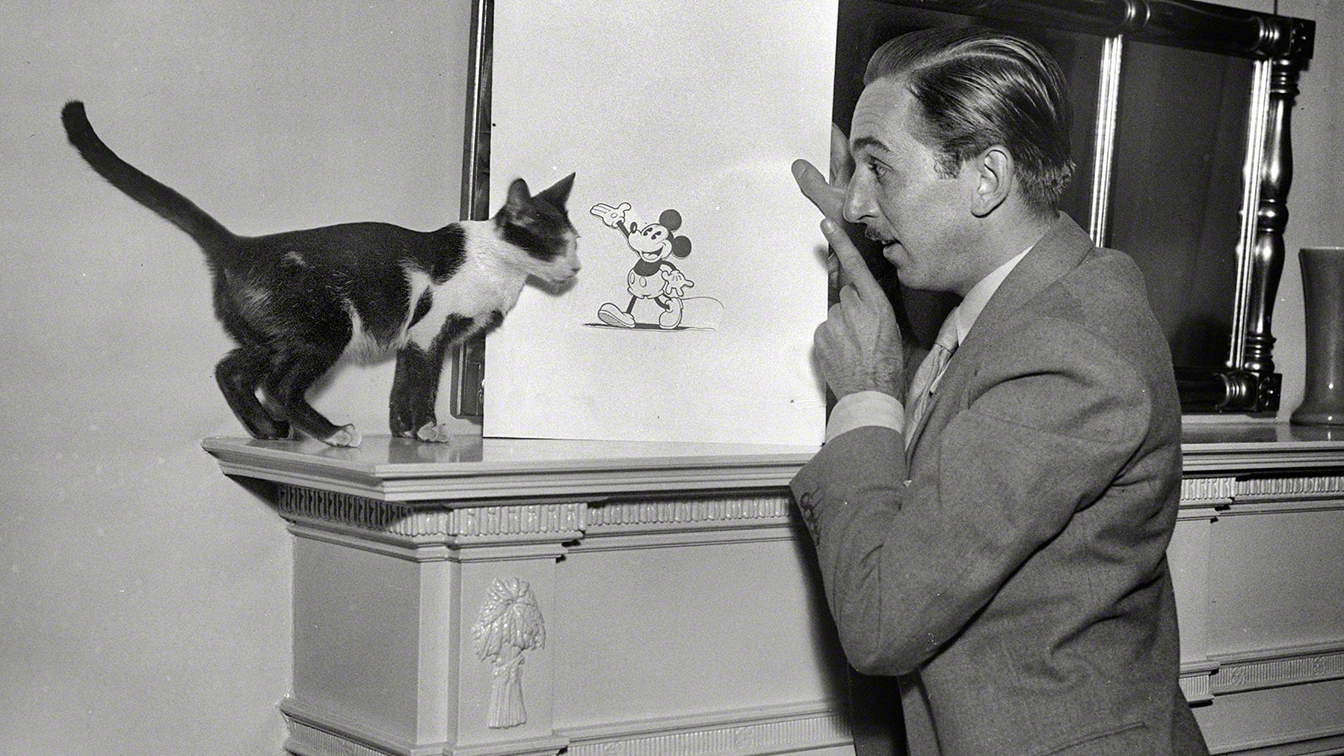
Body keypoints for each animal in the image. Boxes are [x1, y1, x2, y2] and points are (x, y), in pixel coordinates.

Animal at [61, 101, 579, 447]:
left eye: (577, 243)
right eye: (557, 243)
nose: (577, 268)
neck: (496, 266)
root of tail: (241, 245)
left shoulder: (410, 339)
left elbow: (401, 386)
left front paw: (402, 432)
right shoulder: (427, 333)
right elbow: (424, 385)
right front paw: (427, 428)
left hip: (274, 337)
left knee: (230, 370)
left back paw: (270, 430)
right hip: (329, 327)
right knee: (279, 386)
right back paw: (331, 433)